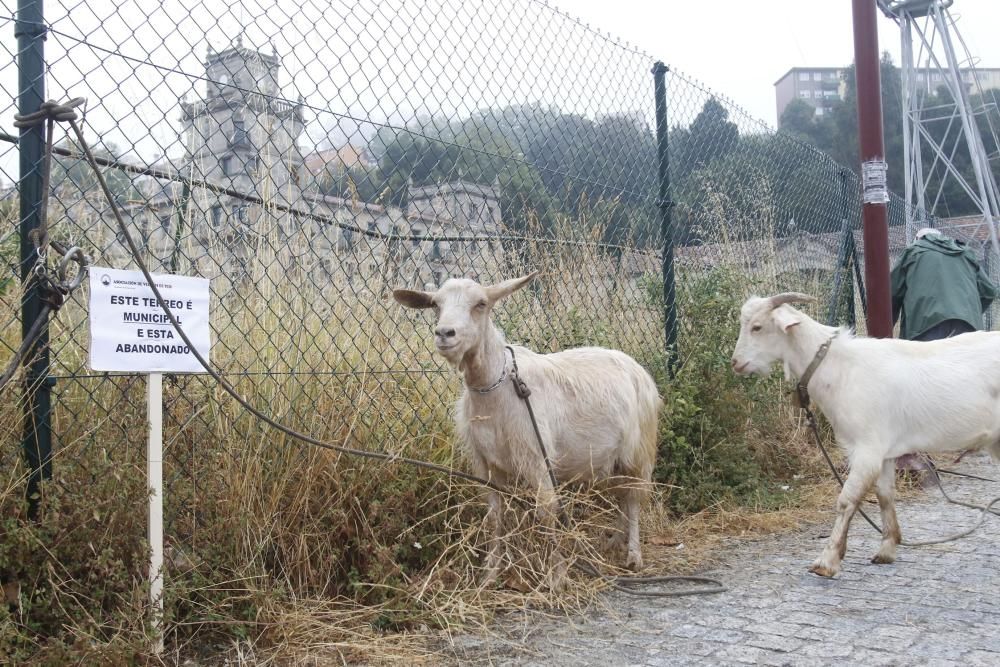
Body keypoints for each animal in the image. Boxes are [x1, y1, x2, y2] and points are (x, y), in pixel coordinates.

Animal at [392, 268, 664, 580]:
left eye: (481, 304)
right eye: (436, 305)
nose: (444, 334)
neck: (496, 388)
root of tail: (637, 368)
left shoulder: (537, 459)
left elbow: (547, 513)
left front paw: (557, 574)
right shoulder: (487, 464)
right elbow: (494, 516)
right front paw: (492, 570)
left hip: (638, 452)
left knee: (633, 500)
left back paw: (633, 554)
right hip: (611, 457)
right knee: (621, 496)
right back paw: (614, 540)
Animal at [728, 294, 1000, 576]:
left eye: (757, 327)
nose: (735, 363)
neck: (841, 368)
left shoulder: (867, 449)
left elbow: (846, 500)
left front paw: (826, 561)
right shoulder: (885, 453)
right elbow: (885, 495)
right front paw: (887, 549)